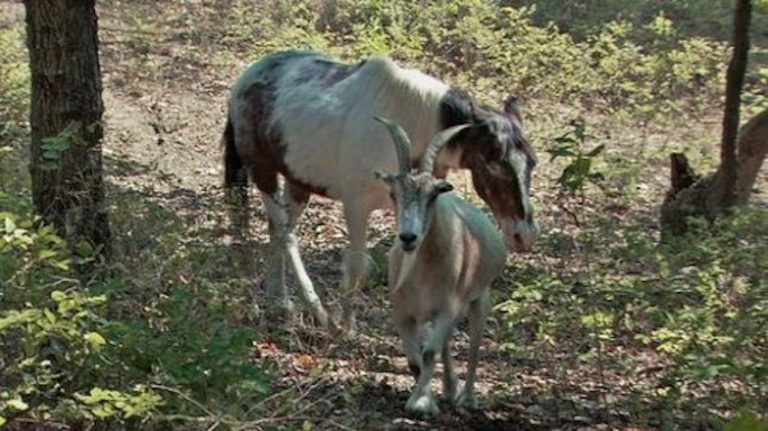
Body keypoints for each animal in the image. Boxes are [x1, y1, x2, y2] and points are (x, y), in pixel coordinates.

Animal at [224, 50, 537, 330]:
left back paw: (280, 301)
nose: (524, 234)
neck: (414, 123)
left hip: (298, 183)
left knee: (277, 231)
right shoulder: (356, 206)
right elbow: (358, 265)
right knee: (285, 233)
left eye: (532, 162)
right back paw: (316, 310)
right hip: (263, 173)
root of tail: (246, 79)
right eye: (493, 162)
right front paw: (346, 327)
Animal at [374, 117, 507, 416]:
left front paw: (421, 404)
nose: (408, 237)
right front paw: (427, 398)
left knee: (474, 344)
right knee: (445, 344)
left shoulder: (449, 308)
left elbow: (429, 353)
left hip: (479, 297)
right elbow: (415, 360)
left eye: (433, 195)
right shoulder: (404, 313)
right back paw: (449, 388)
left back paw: (467, 398)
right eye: (393, 193)